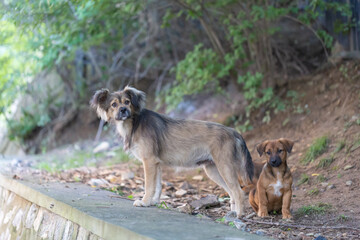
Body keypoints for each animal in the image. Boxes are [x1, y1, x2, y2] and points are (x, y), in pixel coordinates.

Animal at [90, 86, 253, 218]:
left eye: (127, 102)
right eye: (114, 104)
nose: (123, 110)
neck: (135, 122)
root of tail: (233, 132)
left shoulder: (149, 161)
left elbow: (149, 185)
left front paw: (144, 202)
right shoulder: (156, 163)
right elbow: (157, 186)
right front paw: (153, 202)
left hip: (225, 167)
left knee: (239, 192)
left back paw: (239, 215)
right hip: (213, 170)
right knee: (231, 192)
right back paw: (232, 213)